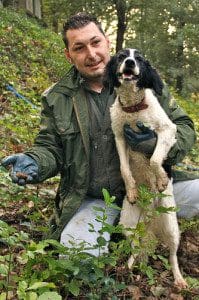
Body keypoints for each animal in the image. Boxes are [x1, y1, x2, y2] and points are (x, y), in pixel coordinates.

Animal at [105, 48, 187, 288]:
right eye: (121, 56)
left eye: (139, 59)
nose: (130, 63)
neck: (133, 108)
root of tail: (150, 215)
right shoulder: (120, 138)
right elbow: (124, 169)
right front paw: (131, 190)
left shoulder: (166, 131)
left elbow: (154, 159)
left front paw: (161, 179)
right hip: (128, 224)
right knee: (135, 248)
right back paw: (128, 268)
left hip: (171, 226)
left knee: (172, 255)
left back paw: (179, 279)